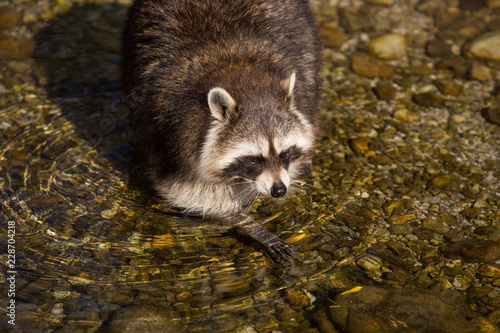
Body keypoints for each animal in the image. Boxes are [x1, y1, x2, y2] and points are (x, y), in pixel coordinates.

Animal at [123, 0, 322, 260]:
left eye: (285, 153)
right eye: (254, 159)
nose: (279, 190)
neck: (244, 79)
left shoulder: (305, 93)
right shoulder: (170, 133)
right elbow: (188, 190)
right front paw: (243, 221)